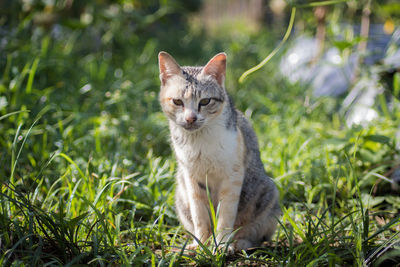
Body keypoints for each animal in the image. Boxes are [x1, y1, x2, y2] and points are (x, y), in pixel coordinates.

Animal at [157, 50, 282, 253]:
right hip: (180, 195)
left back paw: (239, 243)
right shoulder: (192, 178)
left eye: (205, 101)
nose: (191, 119)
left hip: (267, 194)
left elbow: (225, 216)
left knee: (257, 237)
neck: (199, 142)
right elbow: (200, 216)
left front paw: (222, 245)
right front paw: (202, 244)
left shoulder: (232, 176)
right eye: (177, 101)